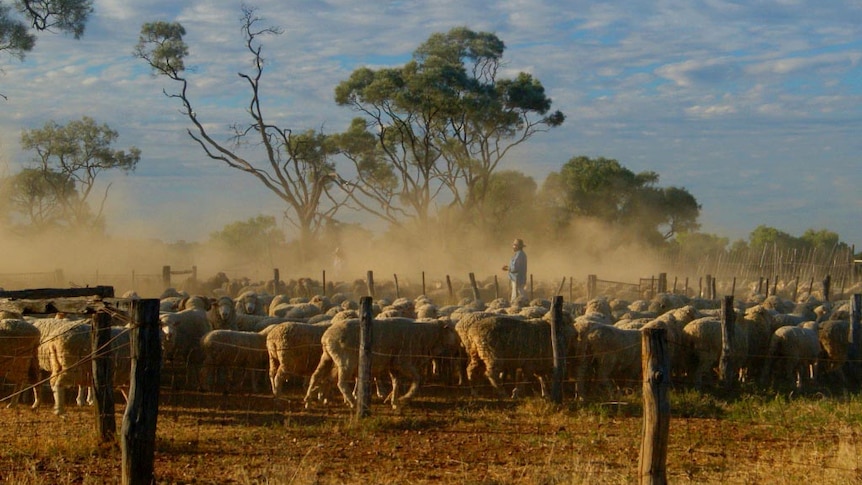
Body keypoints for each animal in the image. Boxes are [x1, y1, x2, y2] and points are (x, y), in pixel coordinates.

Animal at [306, 318, 462, 408]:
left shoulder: (393, 365)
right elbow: (417, 379)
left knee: (317, 376)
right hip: (346, 361)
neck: (425, 336)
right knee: (341, 382)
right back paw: (352, 402)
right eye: (452, 330)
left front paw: (393, 400)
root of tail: (327, 336)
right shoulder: (402, 362)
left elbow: (396, 382)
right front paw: (405, 397)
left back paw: (311, 400)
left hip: (328, 357)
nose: (459, 348)